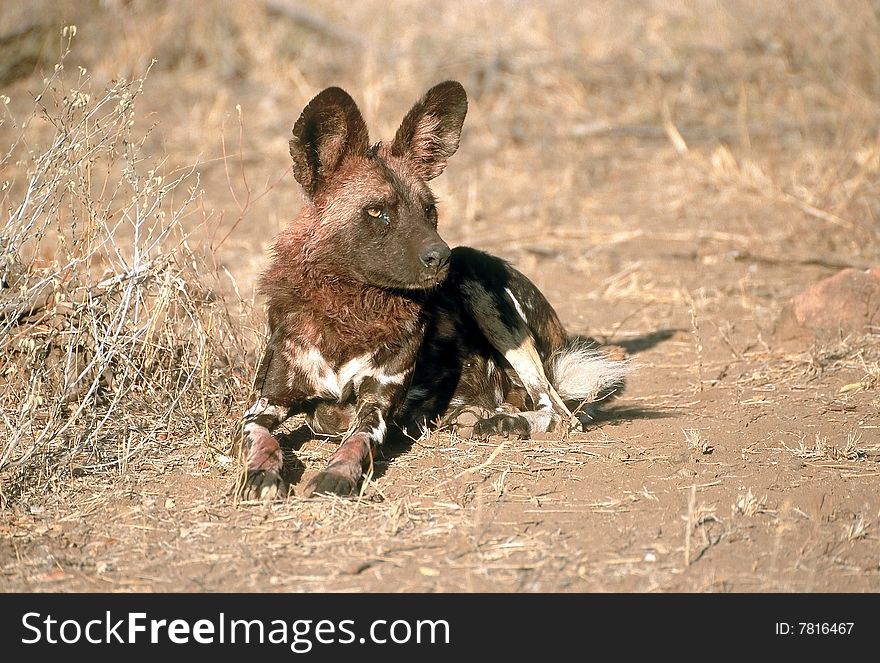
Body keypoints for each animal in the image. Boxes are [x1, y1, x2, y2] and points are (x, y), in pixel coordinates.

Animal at [241, 80, 624, 500]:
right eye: (376, 212)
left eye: (429, 210)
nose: (442, 256)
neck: (348, 310)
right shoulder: (266, 403)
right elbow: (262, 437)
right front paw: (261, 471)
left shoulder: (375, 407)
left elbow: (354, 440)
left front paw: (337, 474)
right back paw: (478, 414)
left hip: (481, 286)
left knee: (561, 413)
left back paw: (503, 422)